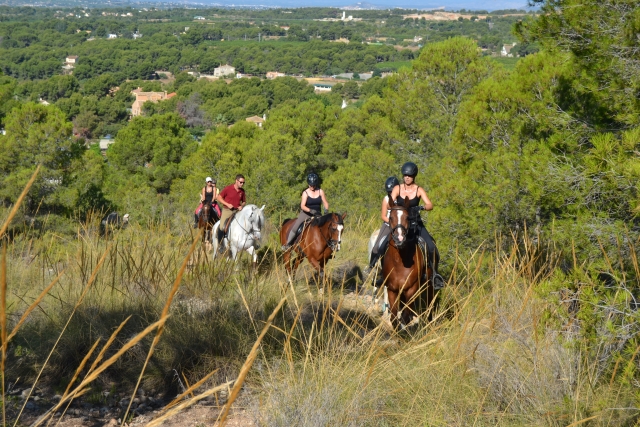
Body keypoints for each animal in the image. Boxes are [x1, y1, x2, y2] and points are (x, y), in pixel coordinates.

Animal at [381, 197, 434, 329]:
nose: (399, 239)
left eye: (407, 217)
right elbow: (394, 318)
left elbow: (405, 316)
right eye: (391, 217)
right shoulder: (392, 289)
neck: (399, 262)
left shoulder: (411, 288)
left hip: (429, 285)